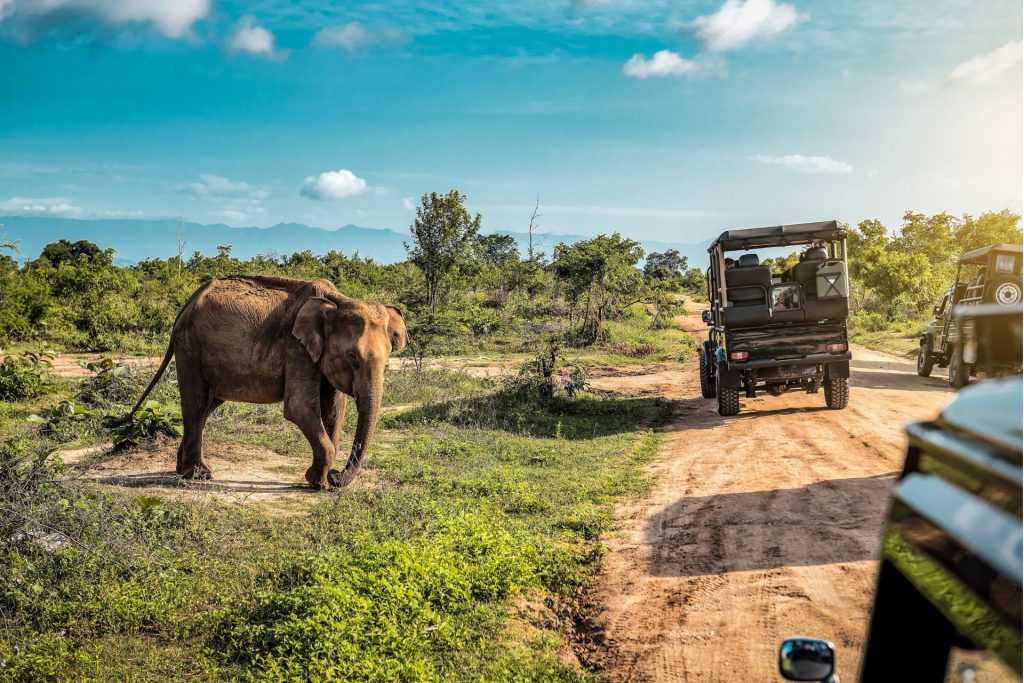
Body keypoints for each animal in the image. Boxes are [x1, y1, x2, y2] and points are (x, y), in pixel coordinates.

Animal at [105, 274, 405, 489]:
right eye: (352, 356)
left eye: (389, 356)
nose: (337, 476)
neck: (338, 301)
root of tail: (184, 308)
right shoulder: (296, 348)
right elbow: (299, 408)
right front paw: (318, 483)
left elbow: (334, 410)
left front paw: (323, 481)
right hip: (190, 350)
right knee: (195, 405)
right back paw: (197, 476)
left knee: (205, 408)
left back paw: (186, 471)